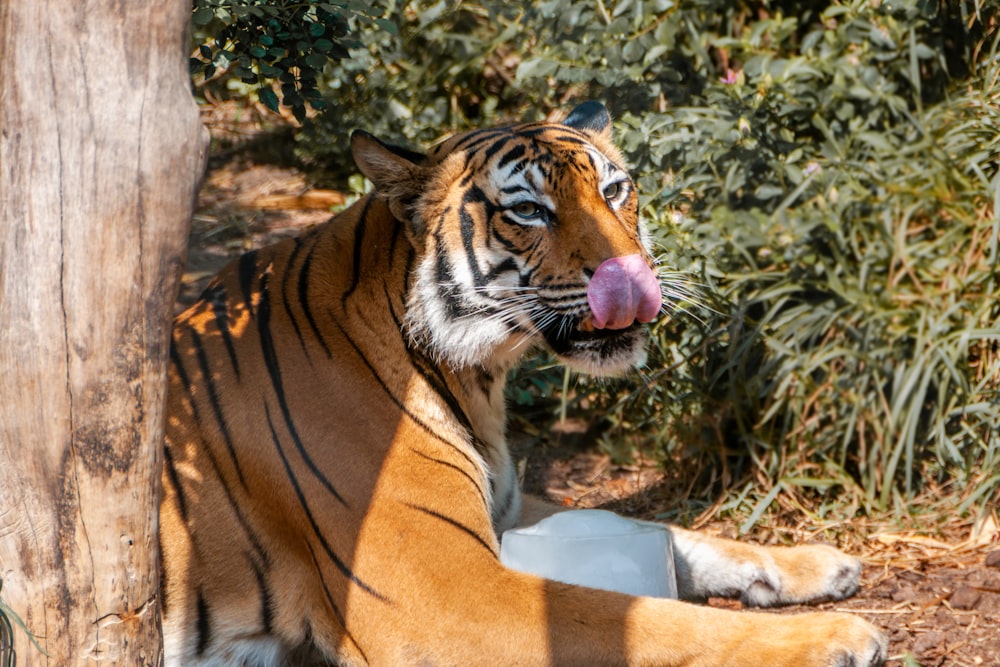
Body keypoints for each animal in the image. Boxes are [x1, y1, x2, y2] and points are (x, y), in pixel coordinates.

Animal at [160, 100, 888, 667]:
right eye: (530, 210)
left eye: (614, 191)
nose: (633, 276)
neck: (475, 375)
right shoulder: (442, 595)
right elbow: (639, 616)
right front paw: (833, 636)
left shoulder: (509, 510)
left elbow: (671, 532)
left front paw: (815, 563)